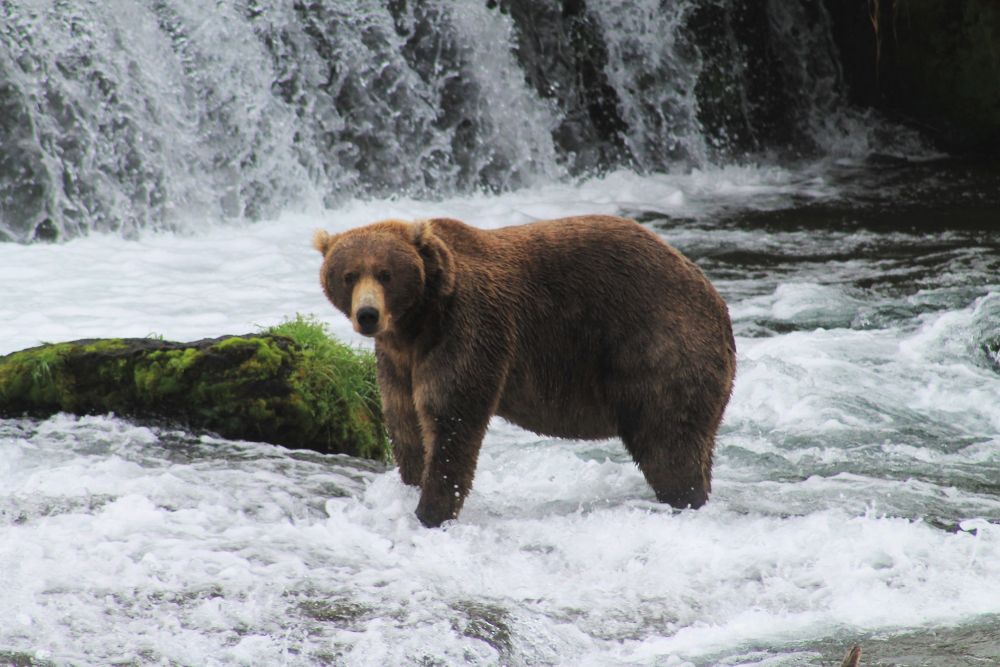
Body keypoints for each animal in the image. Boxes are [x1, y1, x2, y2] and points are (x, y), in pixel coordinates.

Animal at [313, 215, 736, 527]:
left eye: (386, 273)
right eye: (349, 274)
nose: (368, 314)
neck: (418, 321)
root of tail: (714, 296)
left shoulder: (467, 328)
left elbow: (451, 418)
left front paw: (430, 512)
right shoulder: (398, 360)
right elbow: (405, 423)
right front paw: (411, 488)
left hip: (660, 346)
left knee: (669, 442)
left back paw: (684, 498)